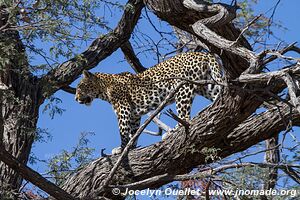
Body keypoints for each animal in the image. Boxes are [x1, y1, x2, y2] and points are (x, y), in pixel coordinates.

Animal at [76, 52, 224, 155]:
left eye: (80, 87)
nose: (76, 99)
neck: (104, 88)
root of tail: (202, 53)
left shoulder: (123, 109)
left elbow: (123, 130)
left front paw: (122, 148)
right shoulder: (134, 114)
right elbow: (133, 131)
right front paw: (131, 147)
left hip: (183, 88)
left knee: (185, 117)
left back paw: (174, 130)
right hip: (206, 86)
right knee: (218, 93)